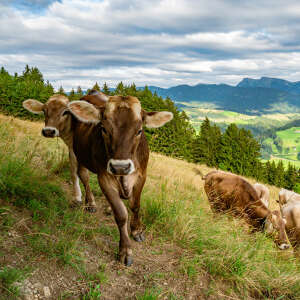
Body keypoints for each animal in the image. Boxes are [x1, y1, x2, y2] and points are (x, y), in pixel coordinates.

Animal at [64, 94, 173, 264]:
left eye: (139, 131)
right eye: (103, 128)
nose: (120, 167)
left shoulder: (142, 175)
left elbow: (135, 206)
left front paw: (137, 231)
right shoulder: (104, 177)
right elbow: (121, 214)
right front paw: (125, 250)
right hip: (78, 153)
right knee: (83, 175)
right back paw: (90, 203)